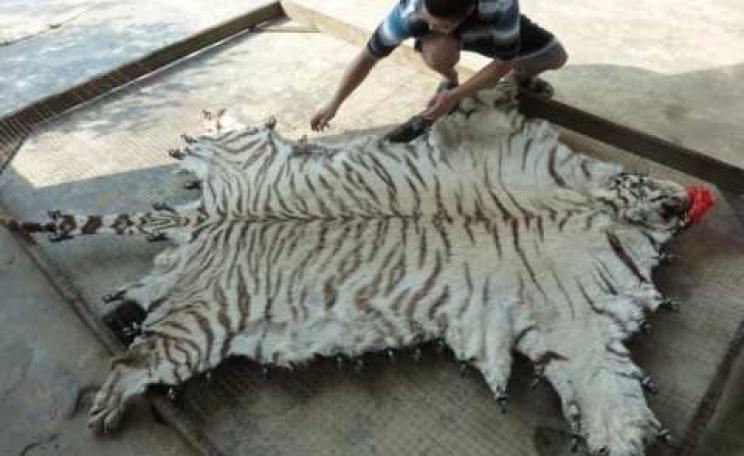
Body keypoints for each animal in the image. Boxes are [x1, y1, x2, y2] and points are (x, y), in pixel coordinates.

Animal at [0, 84, 711, 456]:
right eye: (646, 191)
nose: (687, 200)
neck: (592, 203)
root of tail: (208, 214)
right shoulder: (575, 321)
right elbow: (611, 393)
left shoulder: (578, 323)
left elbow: (610, 392)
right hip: (194, 328)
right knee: (132, 362)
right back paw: (106, 409)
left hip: (201, 289)